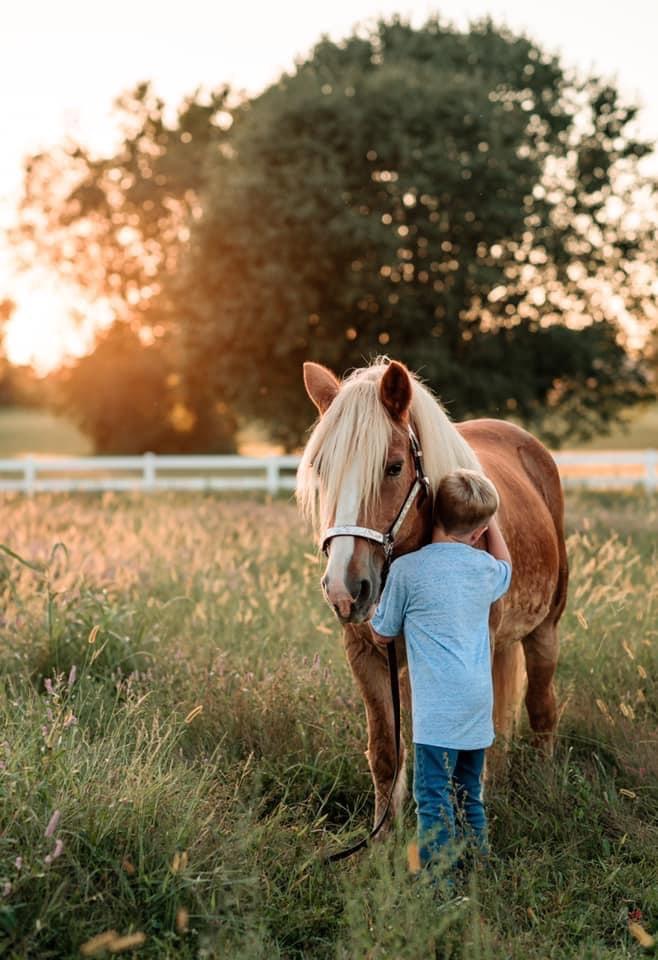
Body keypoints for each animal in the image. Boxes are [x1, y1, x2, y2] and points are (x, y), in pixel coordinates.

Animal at [294, 360, 568, 832]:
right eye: (322, 468)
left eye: (393, 467)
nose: (345, 589)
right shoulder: (367, 654)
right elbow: (387, 753)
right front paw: (383, 838)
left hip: (544, 630)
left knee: (540, 711)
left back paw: (544, 787)